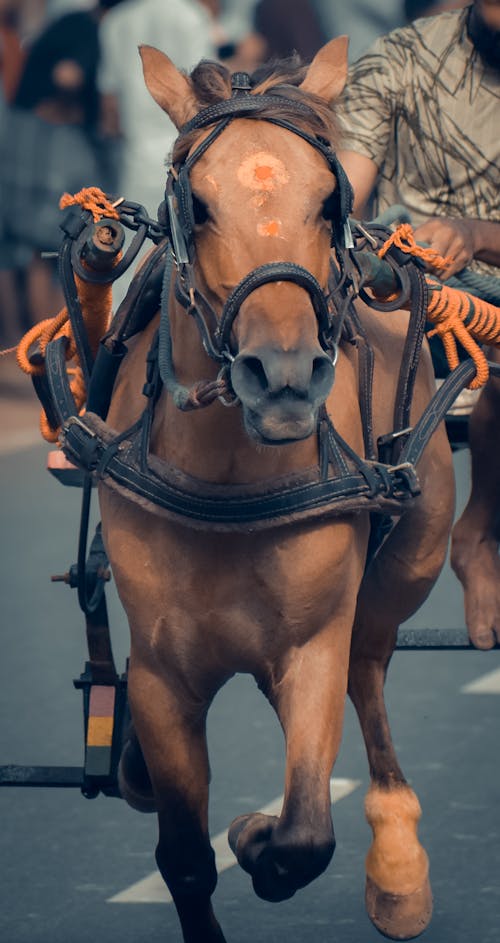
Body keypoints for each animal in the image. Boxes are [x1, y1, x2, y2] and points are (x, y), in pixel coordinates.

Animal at [96, 40, 454, 943]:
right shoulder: (162, 671)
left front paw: (256, 836)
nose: (284, 376)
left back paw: (398, 865)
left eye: (330, 201)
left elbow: (304, 833)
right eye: (196, 204)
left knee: (371, 670)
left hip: (404, 568)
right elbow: (184, 858)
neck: (228, 475)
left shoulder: (312, 644)